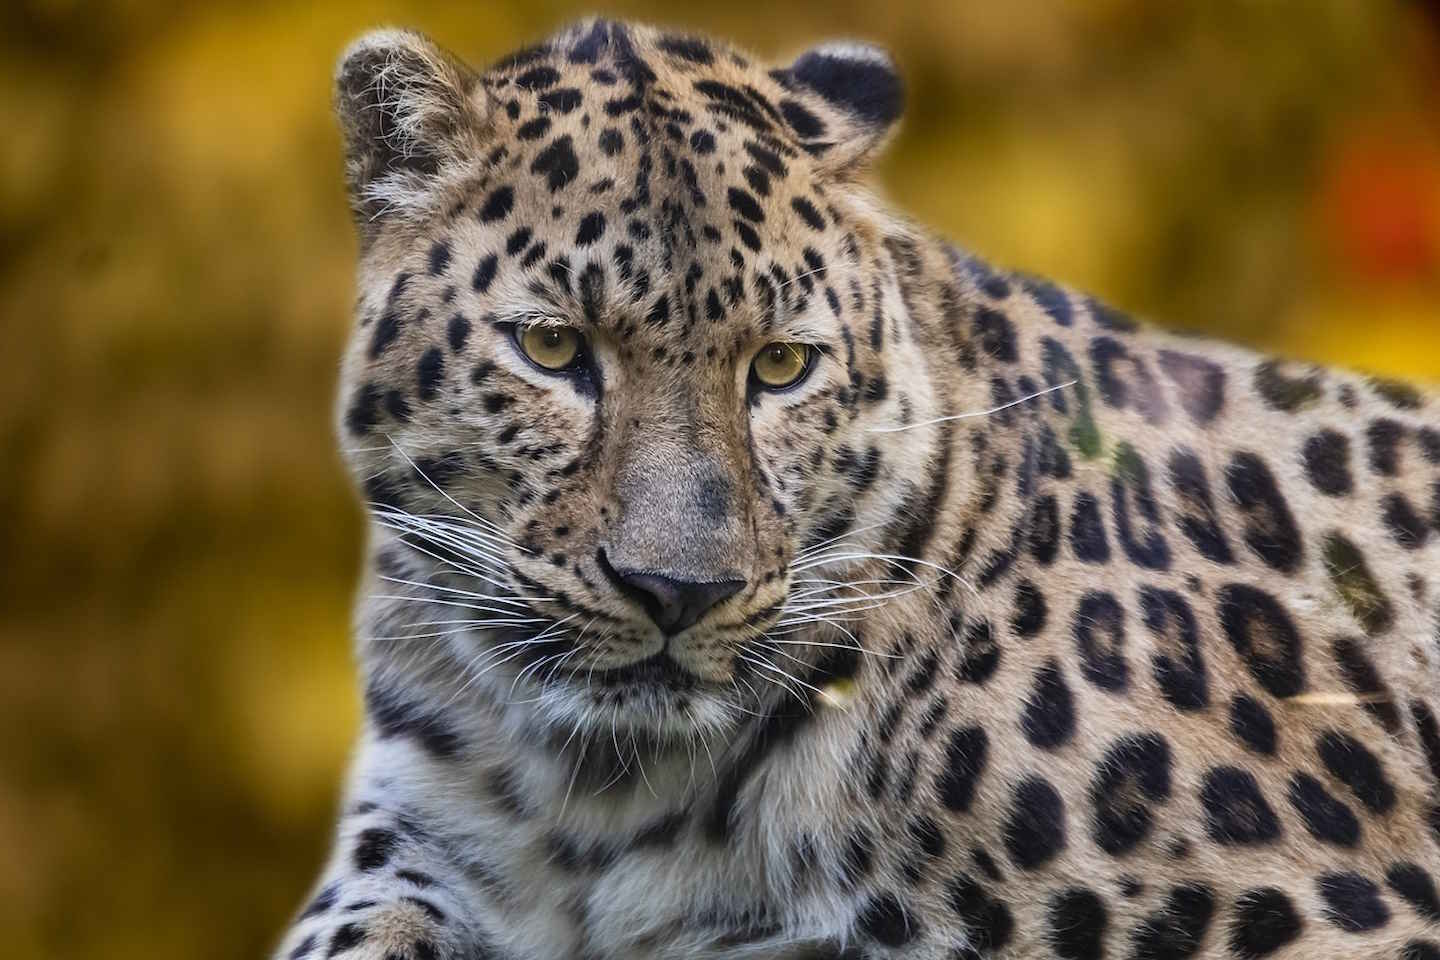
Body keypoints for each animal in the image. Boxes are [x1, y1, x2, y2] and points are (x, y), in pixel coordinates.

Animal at [270, 16, 1440, 960]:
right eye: (553, 347)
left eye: (783, 366)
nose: (677, 592)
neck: (593, 800)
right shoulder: (413, 834)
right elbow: (357, 927)